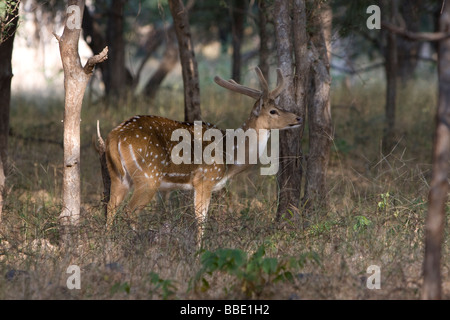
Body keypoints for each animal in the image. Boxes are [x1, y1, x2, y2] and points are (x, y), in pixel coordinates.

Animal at [100, 66, 300, 244]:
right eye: (273, 111)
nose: (298, 118)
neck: (230, 158)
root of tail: (115, 136)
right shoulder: (205, 179)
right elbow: (201, 219)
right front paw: (199, 249)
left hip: (118, 176)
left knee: (111, 207)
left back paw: (107, 245)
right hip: (148, 176)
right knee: (130, 211)